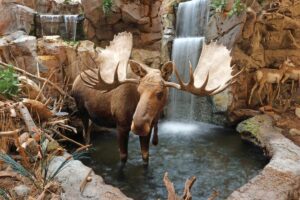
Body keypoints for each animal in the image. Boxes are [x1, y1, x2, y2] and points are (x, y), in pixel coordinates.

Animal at [71, 31, 236, 166]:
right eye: (139, 90)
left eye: (160, 92)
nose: (138, 125)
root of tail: (75, 81)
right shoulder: (121, 125)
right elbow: (123, 157)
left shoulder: (149, 128)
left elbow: (146, 156)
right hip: (81, 110)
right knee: (85, 135)